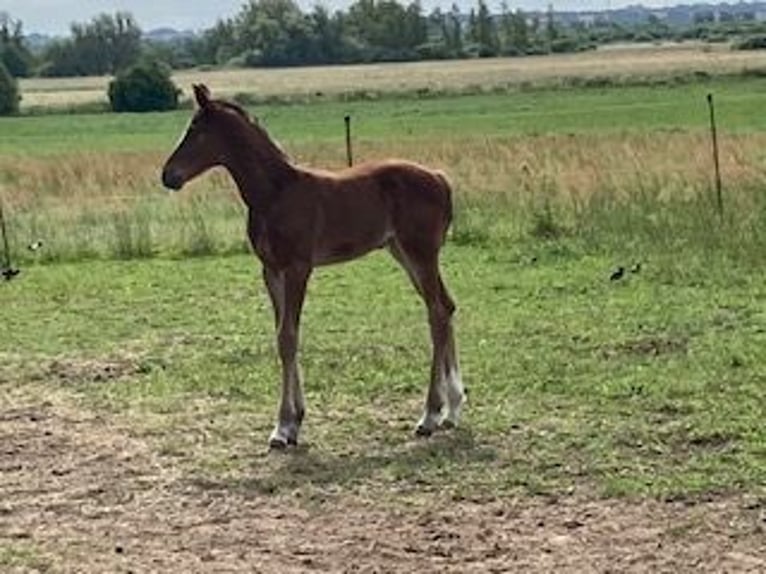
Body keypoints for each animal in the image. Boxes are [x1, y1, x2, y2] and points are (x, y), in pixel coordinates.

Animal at [160, 84, 468, 450]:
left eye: (196, 130)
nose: (168, 175)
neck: (275, 194)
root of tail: (440, 178)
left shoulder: (298, 268)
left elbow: (288, 337)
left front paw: (283, 427)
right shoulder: (271, 270)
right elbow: (282, 335)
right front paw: (294, 422)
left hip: (420, 252)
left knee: (436, 313)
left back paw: (430, 416)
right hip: (403, 252)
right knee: (445, 307)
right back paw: (453, 408)